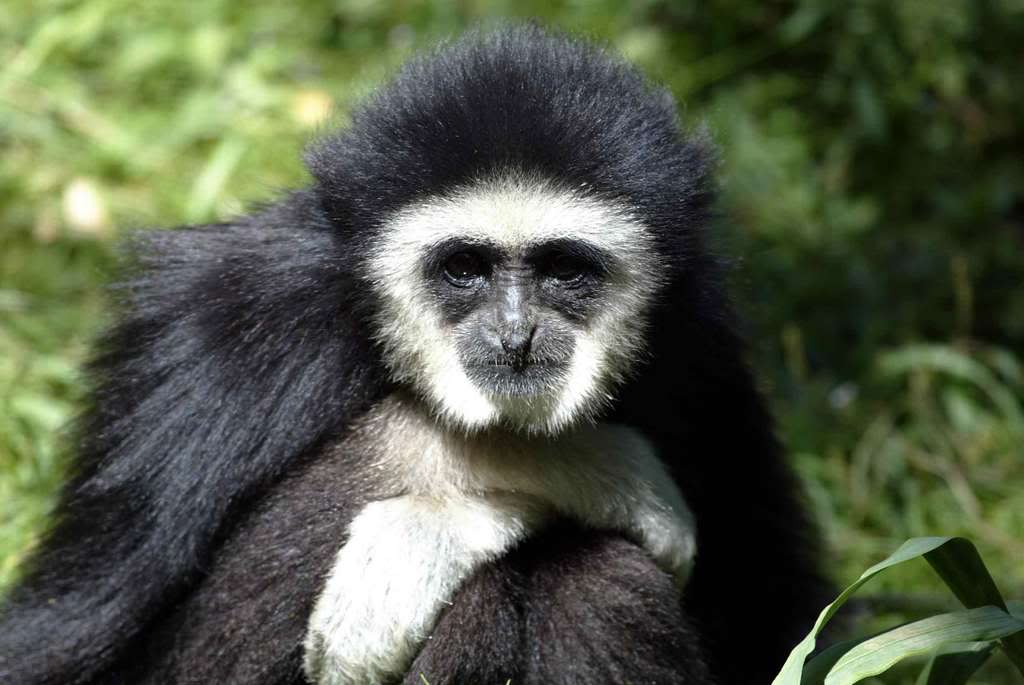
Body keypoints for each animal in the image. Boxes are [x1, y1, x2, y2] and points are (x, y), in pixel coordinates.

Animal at [0, 24, 831, 685]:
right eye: (464, 267)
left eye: (565, 269)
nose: (516, 333)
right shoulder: (215, 326)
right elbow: (66, 642)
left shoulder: (702, 340)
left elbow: (780, 627)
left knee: (600, 579)